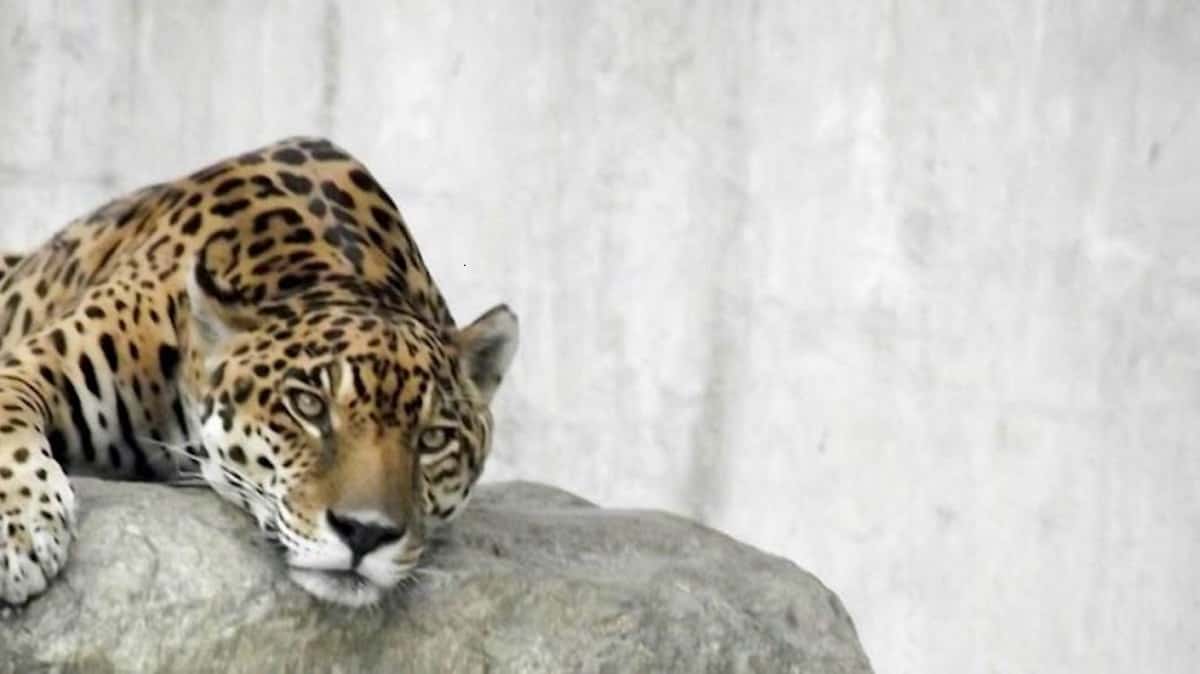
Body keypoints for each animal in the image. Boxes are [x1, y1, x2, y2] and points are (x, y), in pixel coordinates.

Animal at [0, 137, 518, 608]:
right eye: (308, 406)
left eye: (433, 439)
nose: (365, 533)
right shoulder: (31, 362)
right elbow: (10, 424)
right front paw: (19, 534)